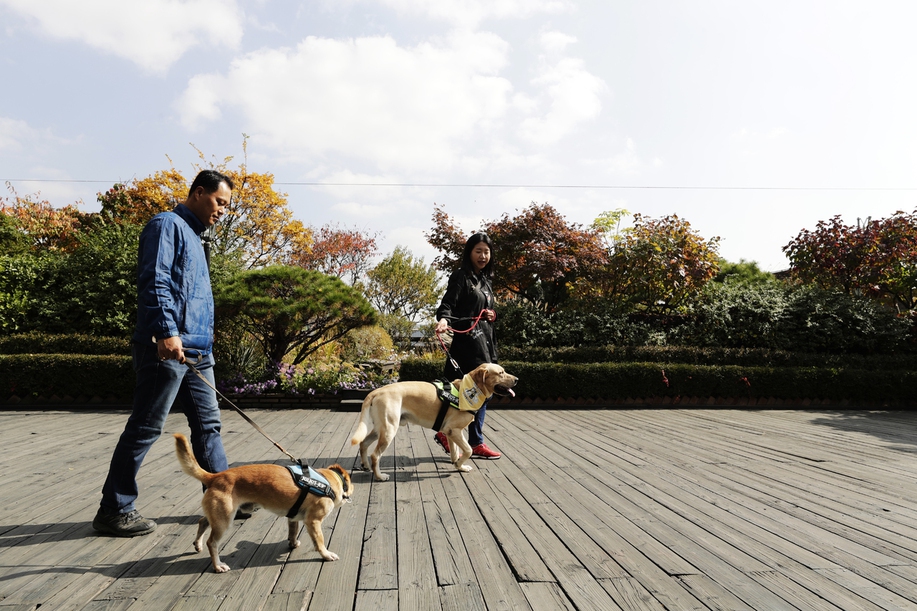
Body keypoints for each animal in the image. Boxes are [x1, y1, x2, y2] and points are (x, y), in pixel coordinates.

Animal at [174, 432, 352, 572]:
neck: (329, 480)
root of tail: (214, 477)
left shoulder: (293, 517)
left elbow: (293, 531)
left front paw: (293, 543)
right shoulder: (313, 521)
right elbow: (319, 541)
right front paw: (326, 554)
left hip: (218, 516)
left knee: (202, 521)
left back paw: (198, 544)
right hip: (224, 520)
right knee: (212, 543)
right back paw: (218, 565)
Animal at [348, 364, 512, 482]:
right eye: (501, 373)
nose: (516, 379)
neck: (469, 389)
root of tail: (376, 391)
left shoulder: (450, 432)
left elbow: (455, 451)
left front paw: (459, 466)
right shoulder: (454, 430)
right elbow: (468, 450)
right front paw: (460, 464)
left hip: (379, 428)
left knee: (363, 443)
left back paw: (365, 465)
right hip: (389, 430)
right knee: (375, 455)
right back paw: (379, 476)